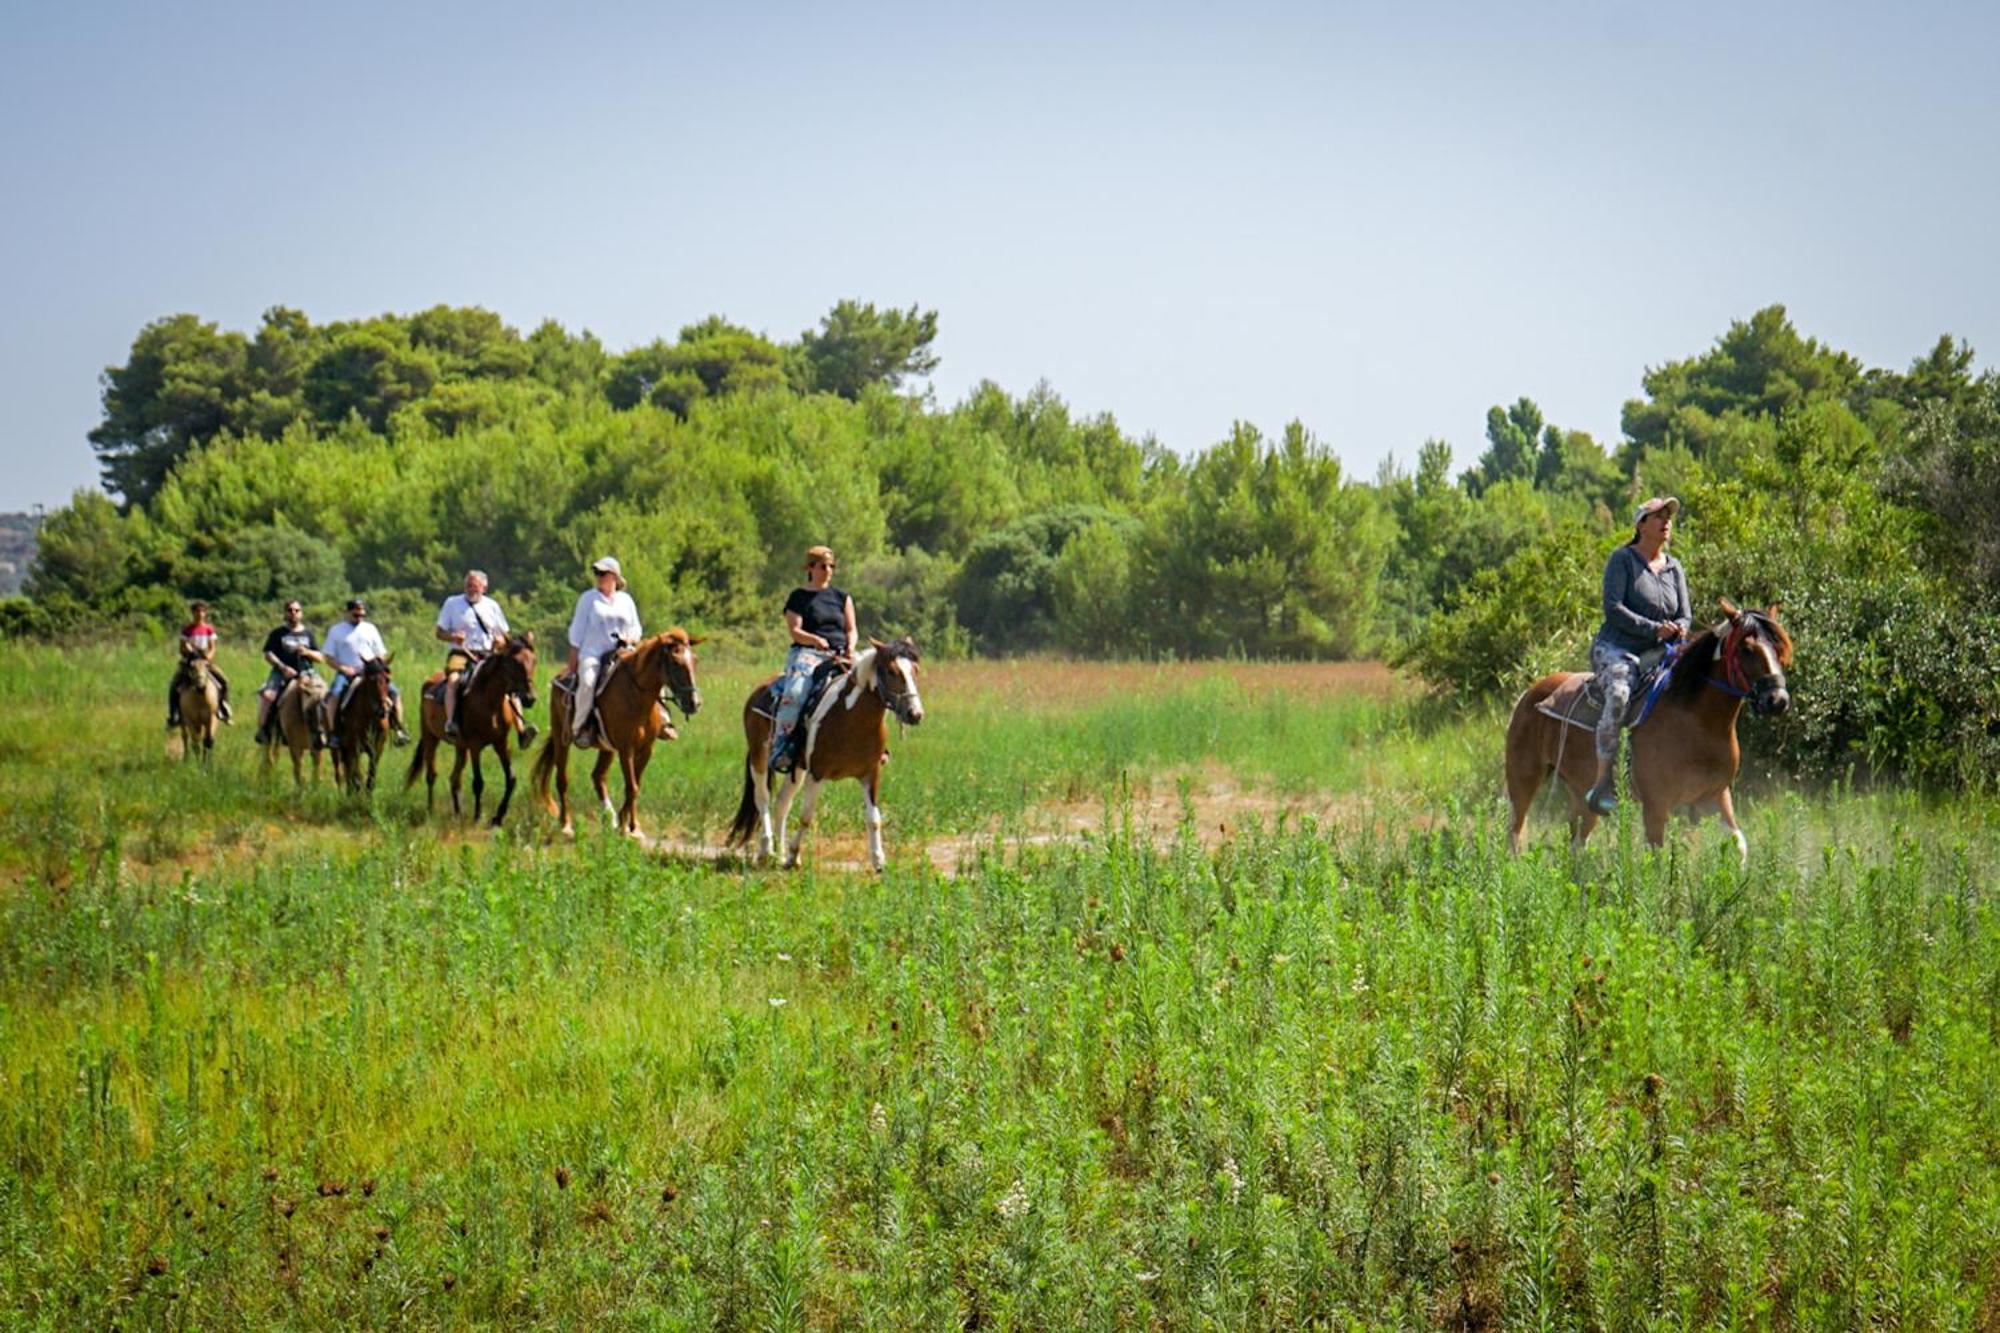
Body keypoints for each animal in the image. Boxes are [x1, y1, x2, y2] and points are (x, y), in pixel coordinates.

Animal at [330, 652, 396, 788]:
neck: (370, 717)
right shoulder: (354, 748)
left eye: (388, 679)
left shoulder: (377, 748)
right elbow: (357, 777)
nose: (382, 709)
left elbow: (371, 778)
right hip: (340, 750)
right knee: (342, 773)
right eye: (370, 680)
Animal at [406, 632, 540, 820]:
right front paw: (477, 816)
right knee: (431, 775)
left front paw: (498, 817)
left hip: (461, 747)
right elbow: (478, 782)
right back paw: (431, 811)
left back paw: (458, 813)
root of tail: (429, 683)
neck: (490, 702)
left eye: (533, 661)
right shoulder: (475, 746)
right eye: (514, 662)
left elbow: (511, 778)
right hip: (430, 738)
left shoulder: (501, 743)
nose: (529, 698)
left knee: (454, 778)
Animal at [532, 632, 704, 832]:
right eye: (675, 662)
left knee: (598, 777)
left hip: (607, 748)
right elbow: (632, 787)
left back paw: (609, 818)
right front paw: (630, 827)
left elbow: (635, 785)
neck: (636, 696)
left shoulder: (646, 749)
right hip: (562, 739)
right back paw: (566, 824)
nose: (694, 703)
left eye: (695, 660)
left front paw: (627, 823)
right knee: (562, 779)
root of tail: (561, 676)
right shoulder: (625, 749)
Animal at [728, 636, 928, 872]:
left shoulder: (870, 774)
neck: (850, 716)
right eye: (891, 671)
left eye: (915, 670)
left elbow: (873, 818)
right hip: (759, 756)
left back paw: (779, 853)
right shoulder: (817, 773)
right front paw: (794, 856)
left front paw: (878, 861)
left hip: (796, 768)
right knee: (762, 798)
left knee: (783, 803)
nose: (915, 714)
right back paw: (766, 850)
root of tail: (759, 691)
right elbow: (806, 816)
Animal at [1504, 600, 1800, 860]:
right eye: (1747, 649)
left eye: (1779, 648)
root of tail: (1531, 692)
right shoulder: (1656, 806)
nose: (1778, 700)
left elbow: (1739, 845)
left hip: (1580, 794)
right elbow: (1656, 860)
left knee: (1576, 842)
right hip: (1523, 778)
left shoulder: (1713, 796)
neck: (1698, 724)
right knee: (1515, 832)